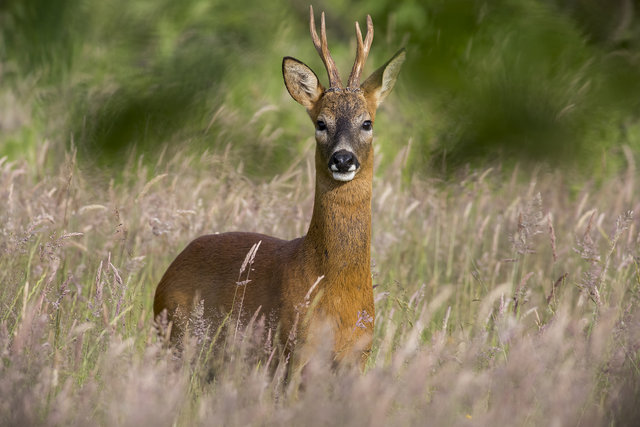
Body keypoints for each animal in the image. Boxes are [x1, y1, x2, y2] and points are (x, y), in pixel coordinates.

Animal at [153, 5, 405, 369]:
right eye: (321, 123)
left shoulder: (358, 356)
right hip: (178, 337)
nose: (343, 159)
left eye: (367, 122)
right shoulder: (294, 349)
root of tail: (166, 275)